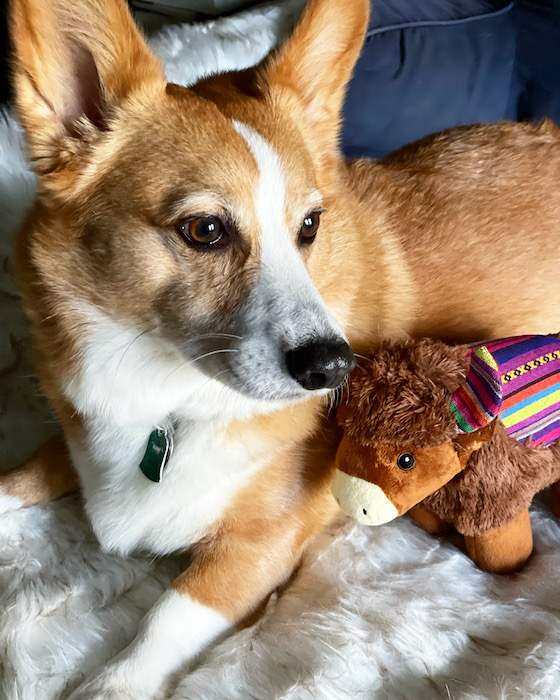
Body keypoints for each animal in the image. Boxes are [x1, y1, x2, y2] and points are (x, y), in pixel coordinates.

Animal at [4, 0, 560, 696]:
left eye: (310, 227)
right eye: (204, 230)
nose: (336, 368)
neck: (165, 395)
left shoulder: (257, 548)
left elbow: (164, 618)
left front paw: (111, 683)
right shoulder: (77, 437)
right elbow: (18, 480)